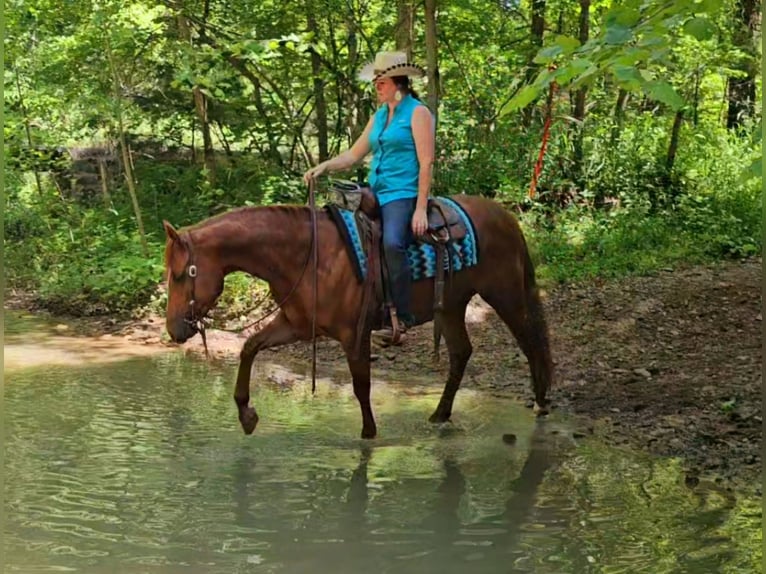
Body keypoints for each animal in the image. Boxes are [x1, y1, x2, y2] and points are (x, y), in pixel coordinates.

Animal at [165, 195, 556, 440]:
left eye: (182, 273)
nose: (173, 330)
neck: (308, 256)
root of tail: (506, 216)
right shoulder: (296, 326)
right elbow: (249, 346)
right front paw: (247, 414)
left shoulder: (353, 334)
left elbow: (361, 386)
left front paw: (369, 436)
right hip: (451, 306)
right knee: (461, 353)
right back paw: (440, 415)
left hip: (504, 295)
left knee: (531, 340)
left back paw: (540, 401)